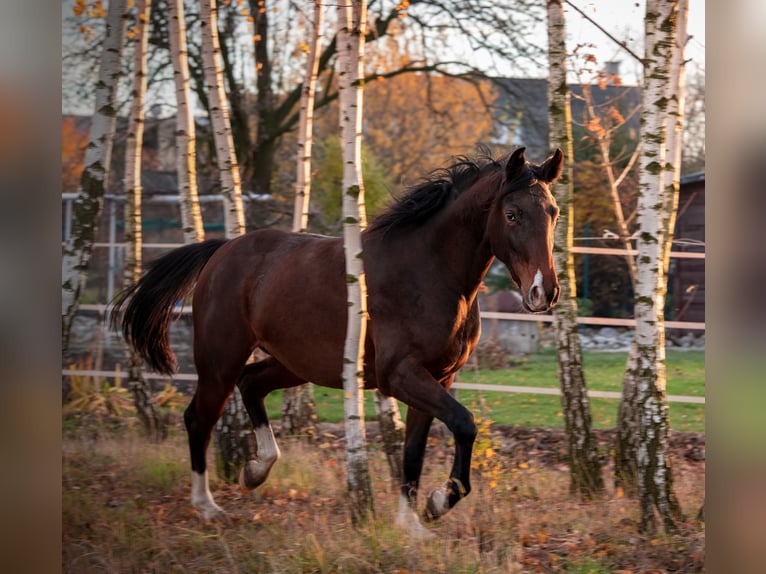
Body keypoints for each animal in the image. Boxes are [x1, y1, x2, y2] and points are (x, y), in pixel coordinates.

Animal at [112, 145, 564, 540]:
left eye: (554, 213)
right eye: (512, 213)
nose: (544, 292)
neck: (430, 273)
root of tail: (224, 251)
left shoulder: (439, 378)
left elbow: (413, 451)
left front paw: (411, 525)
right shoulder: (401, 376)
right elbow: (464, 424)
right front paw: (438, 503)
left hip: (296, 364)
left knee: (251, 383)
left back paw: (256, 470)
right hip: (220, 360)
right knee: (198, 418)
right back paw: (207, 506)